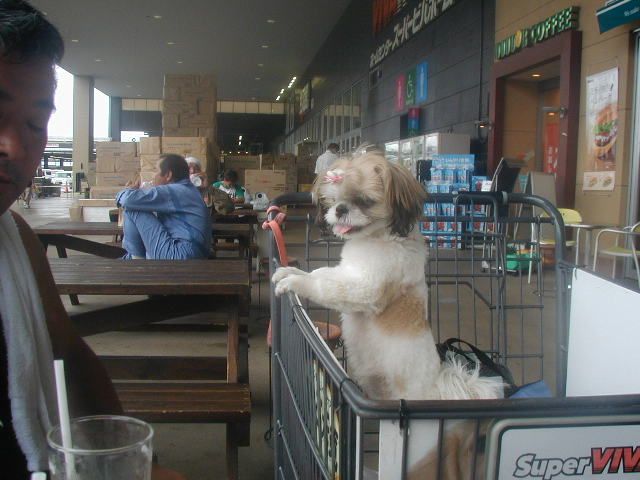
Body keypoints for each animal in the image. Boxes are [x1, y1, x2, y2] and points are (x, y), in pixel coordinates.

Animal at [272, 152, 503, 402]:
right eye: (333, 200)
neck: (376, 238)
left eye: (365, 201)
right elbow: (320, 273)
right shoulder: (347, 271)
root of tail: (437, 389)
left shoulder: (366, 289)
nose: (340, 209)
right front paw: (290, 271)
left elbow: (323, 286)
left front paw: (295, 282)